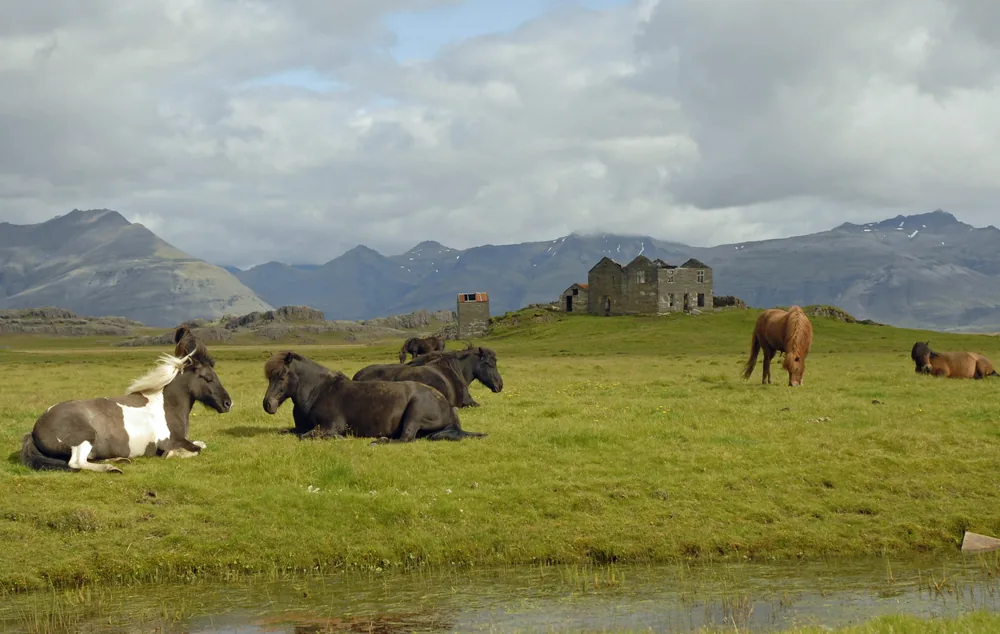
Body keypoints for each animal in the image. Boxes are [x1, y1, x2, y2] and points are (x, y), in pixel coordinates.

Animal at [20, 326, 233, 473]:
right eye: (208, 377)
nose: (228, 403)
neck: (167, 406)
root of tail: (35, 428)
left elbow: (201, 444)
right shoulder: (171, 440)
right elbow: (196, 449)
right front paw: (171, 454)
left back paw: (118, 460)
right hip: (85, 436)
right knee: (76, 462)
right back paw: (112, 468)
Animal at [262, 351, 487, 442]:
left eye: (281, 375)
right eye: (269, 376)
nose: (267, 404)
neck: (320, 392)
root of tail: (448, 405)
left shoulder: (330, 425)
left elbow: (306, 436)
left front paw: (339, 438)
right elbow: (291, 432)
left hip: (414, 413)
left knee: (406, 439)